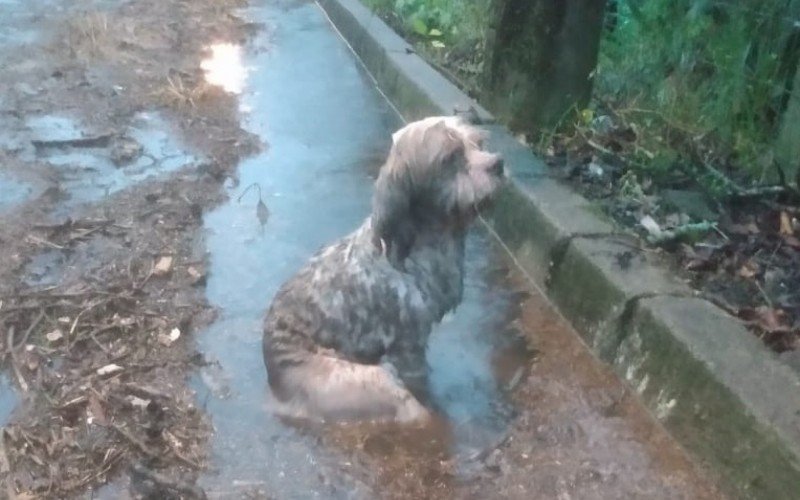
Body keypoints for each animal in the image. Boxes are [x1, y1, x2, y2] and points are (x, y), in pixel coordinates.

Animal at [264, 116, 506, 422]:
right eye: (450, 157)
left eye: (479, 142)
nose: (498, 163)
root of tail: (277, 387)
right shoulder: (409, 348)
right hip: (380, 381)